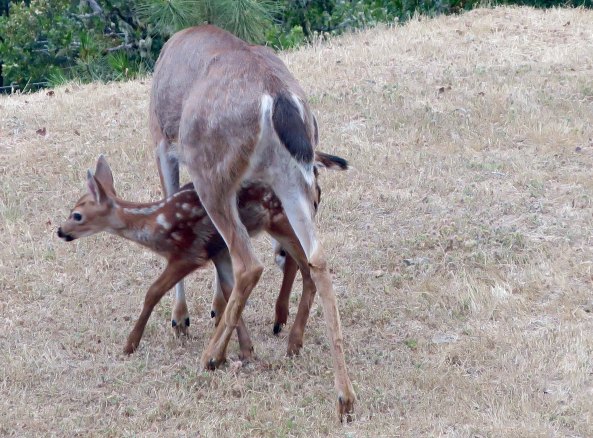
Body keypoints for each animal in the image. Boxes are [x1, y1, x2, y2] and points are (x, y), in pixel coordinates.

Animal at [57, 153, 347, 358]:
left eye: (77, 215)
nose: (60, 231)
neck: (155, 224)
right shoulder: (218, 250)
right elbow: (230, 291)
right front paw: (244, 350)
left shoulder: (189, 253)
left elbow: (153, 291)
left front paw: (130, 344)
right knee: (299, 264)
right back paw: (285, 330)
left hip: (280, 218)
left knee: (307, 265)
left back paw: (293, 340)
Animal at [149, 24, 356, 421]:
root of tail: (277, 99)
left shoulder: (161, 141)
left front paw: (181, 319)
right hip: (291, 178)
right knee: (316, 258)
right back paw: (344, 396)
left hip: (211, 171)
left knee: (249, 263)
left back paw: (211, 356)